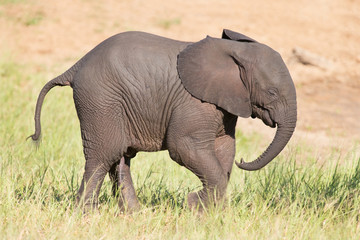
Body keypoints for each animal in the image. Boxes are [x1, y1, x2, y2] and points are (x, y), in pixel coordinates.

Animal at [30, 29, 296, 212]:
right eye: (272, 92)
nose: (244, 162)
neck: (232, 52)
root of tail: (76, 66)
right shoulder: (193, 102)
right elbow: (184, 147)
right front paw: (195, 207)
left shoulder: (224, 105)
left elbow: (225, 149)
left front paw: (211, 212)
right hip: (100, 100)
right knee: (103, 156)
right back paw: (86, 215)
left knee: (120, 157)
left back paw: (134, 214)